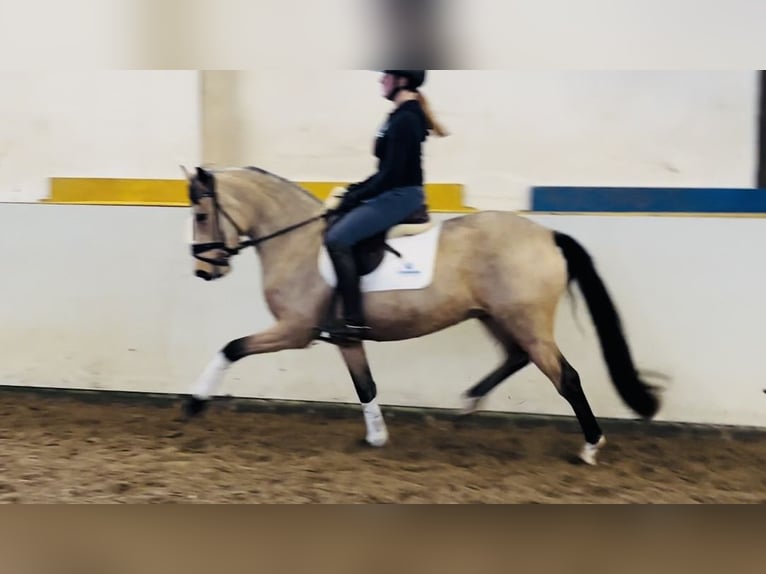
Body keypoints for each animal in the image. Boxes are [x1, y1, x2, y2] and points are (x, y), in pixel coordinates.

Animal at [180, 165, 660, 468]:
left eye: (201, 214)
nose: (204, 270)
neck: (298, 243)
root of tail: (548, 235)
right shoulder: (347, 338)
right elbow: (366, 386)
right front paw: (376, 438)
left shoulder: (295, 330)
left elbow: (232, 347)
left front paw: (194, 403)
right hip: (495, 316)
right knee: (516, 357)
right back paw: (467, 404)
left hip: (526, 321)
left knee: (566, 378)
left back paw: (591, 447)